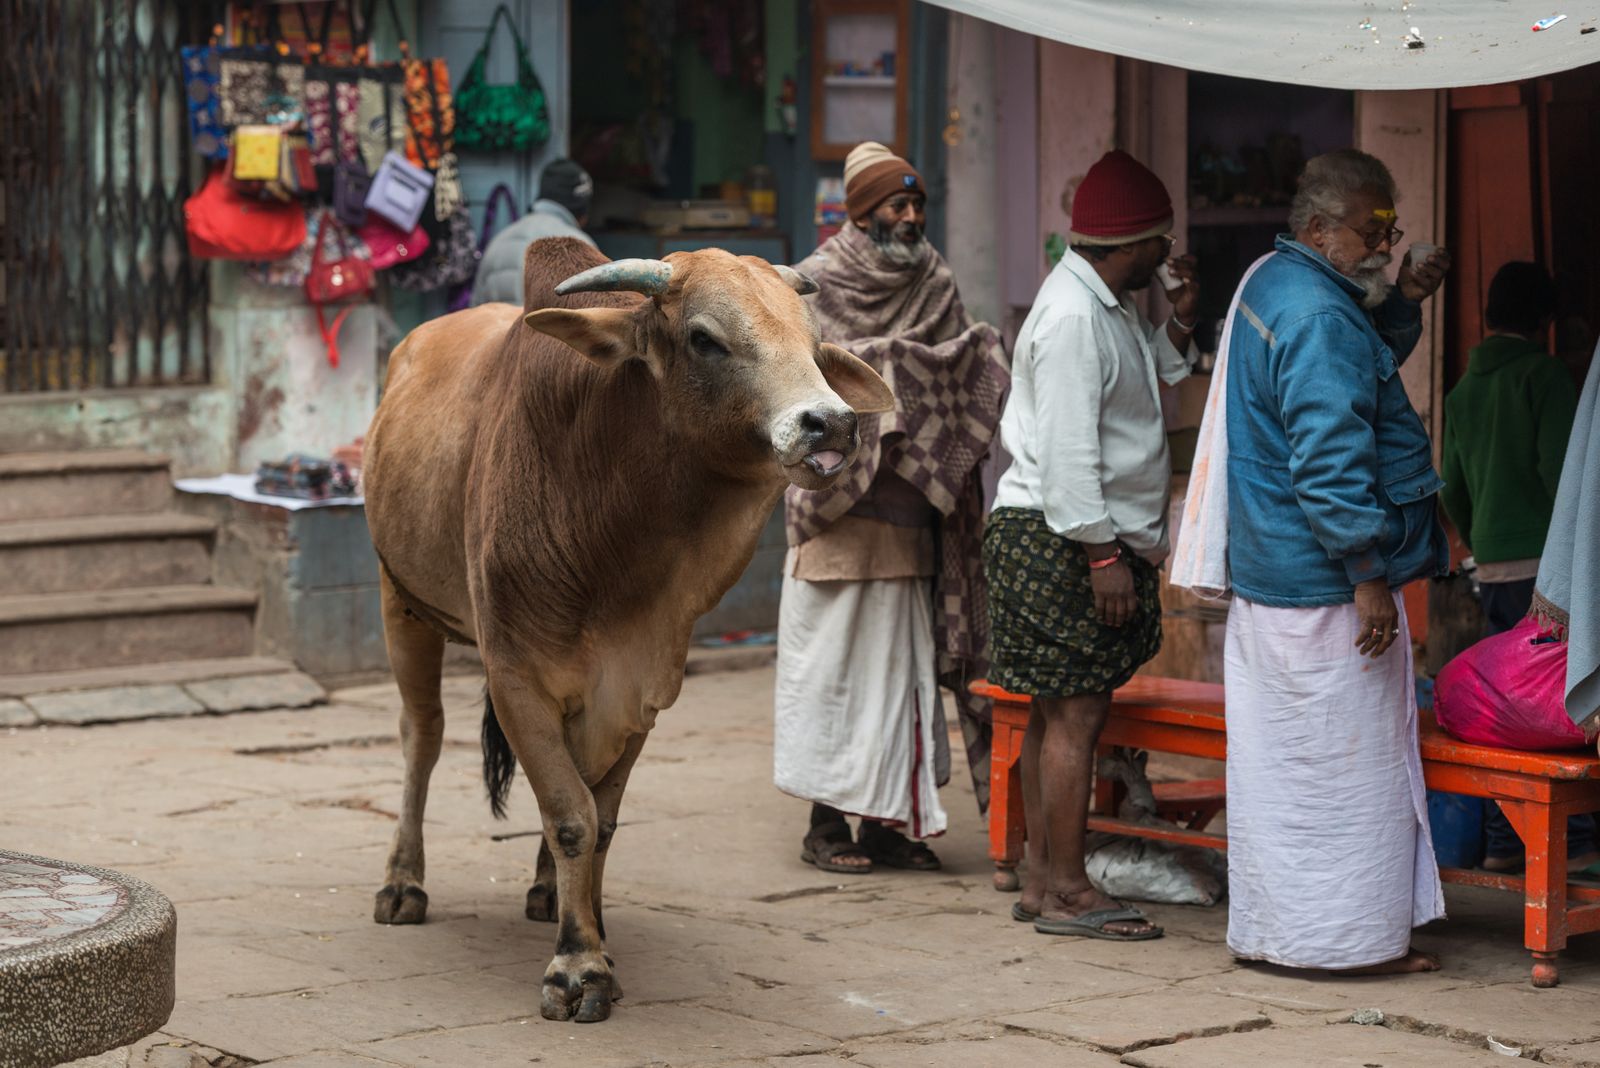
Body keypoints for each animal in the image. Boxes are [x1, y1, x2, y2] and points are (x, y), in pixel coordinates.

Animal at [356, 238, 896, 1023]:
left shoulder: (642, 687)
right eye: (704, 338)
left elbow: (597, 819)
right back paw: (403, 882)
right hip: (402, 603)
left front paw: (590, 932)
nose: (831, 424)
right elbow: (570, 815)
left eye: (814, 340)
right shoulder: (516, 676)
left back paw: (545, 891)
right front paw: (577, 968)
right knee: (420, 740)